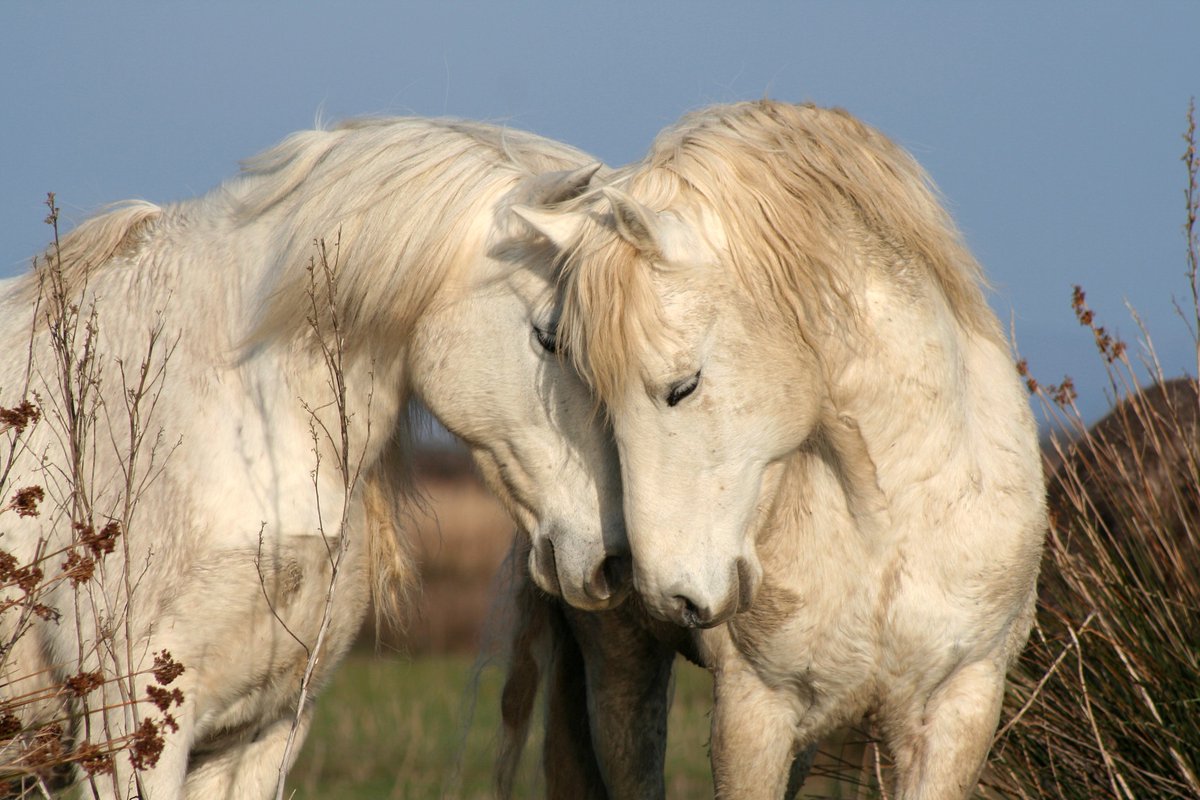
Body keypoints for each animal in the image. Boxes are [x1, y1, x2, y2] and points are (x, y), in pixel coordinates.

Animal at [513, 100, 1047, 799]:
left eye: (683, 386)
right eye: (590, 390)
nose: (671, 595)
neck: (890, 521)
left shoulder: (960, 704)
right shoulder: (753, 712)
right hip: (621, 671)